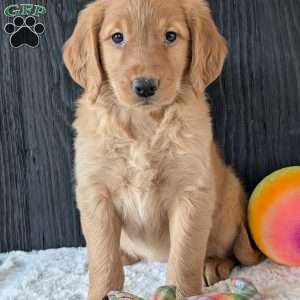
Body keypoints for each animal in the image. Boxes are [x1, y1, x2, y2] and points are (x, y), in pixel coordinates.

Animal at [63, 0, 262, 298]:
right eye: (117, 37)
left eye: (170, 36)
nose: (145, 86)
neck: (143, 125)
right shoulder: (96, 193)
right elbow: (103, 259)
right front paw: (103, 290)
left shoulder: (191, 194)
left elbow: (185, 257)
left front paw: (184, 291)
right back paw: (125, 255)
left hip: (228, 205)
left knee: (230, 250)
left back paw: (214, 263)